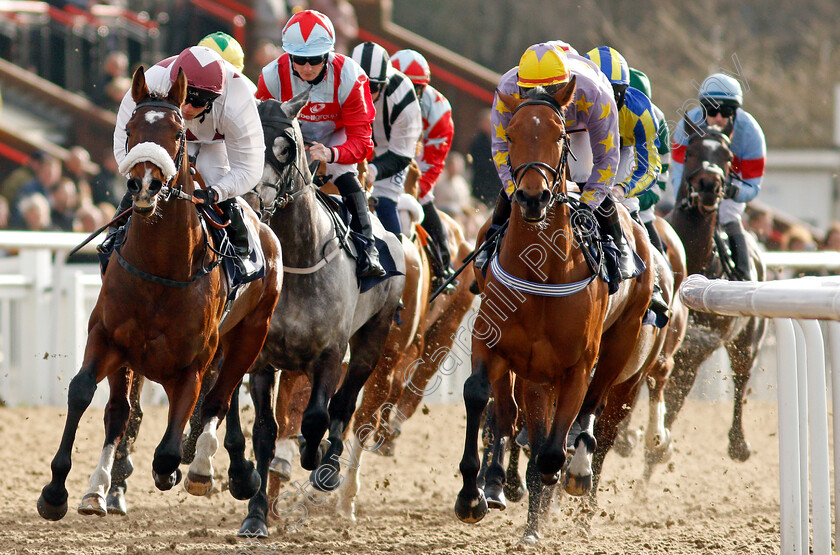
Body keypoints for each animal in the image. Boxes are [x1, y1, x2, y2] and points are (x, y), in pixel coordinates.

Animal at [37, 68, 282, 520]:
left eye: (179, 133)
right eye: (130, 130)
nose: (144, 184)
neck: (161, 271)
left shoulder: (193, 364)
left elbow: (172, 443)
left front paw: (177, 467)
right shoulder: (108, 337)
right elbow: (83, 393)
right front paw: (56, 491)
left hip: (251, 336)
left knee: (219, 400)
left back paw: (209, 469)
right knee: (123, 413)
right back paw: (99, 489)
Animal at [452, 81, 656, 544]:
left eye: (560, 136)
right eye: (510, 135)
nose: (532, 197)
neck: (542, 270)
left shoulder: (577, 366)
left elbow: (551, 451)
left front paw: (555, 484)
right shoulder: (493, 345)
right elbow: (479, 397)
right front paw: (472, 496)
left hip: (622, 345)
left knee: (594, 415)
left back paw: (576, 478)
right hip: (534, 371)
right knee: (514, 416)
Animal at [664, 120, 768, 470]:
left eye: (727, 156)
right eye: (691, 151)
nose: (709, 185)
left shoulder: (695, 350)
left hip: (747, 340)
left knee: (741, 378)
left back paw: (739, 444)